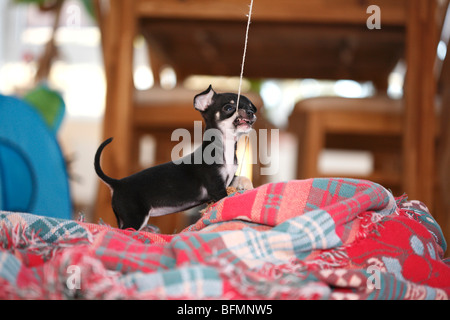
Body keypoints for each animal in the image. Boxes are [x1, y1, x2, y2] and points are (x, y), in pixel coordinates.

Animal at [95, 85, 256, 230]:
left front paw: (250, 188)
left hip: (123, 217)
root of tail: (117, 183)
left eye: (250, 107)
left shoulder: (229, 177)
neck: (226, 147)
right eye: (229, 108)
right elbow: (226, 198)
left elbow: (243, 178)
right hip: (135, 217)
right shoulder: (216, 187)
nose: (250, 112)